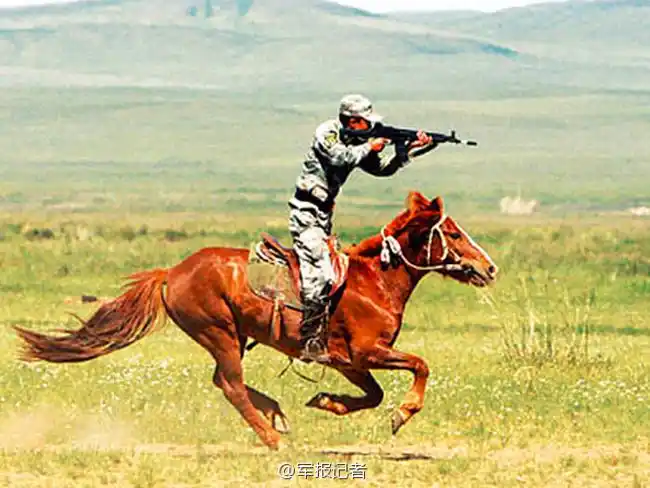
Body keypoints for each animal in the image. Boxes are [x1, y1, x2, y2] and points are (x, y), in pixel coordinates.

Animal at [14, 191, 498, 450]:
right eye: (453, 233)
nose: (489, 267)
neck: (373, 283)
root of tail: (172, 272)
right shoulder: (368, 352)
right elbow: (420, 366)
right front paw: (403, 414)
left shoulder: (348, 361)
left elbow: (374, 394)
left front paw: (326, 401)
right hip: (220, 333)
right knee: (230, 384)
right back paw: (272, 435)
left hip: (230, 337)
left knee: (223, 382)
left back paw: (276, 415)